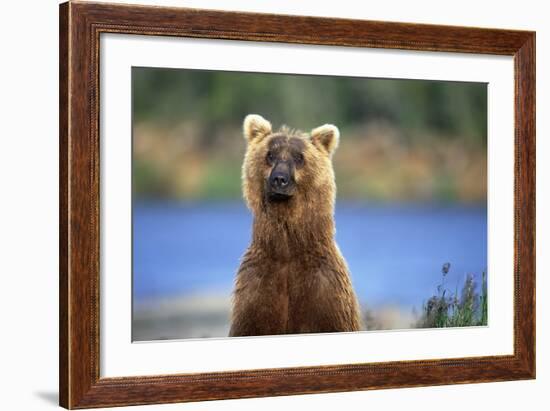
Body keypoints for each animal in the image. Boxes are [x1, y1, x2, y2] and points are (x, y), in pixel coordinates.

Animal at [230, 113, 364, 338]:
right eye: (270, 155)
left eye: (299, 157)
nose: (279, 179)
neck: (287, 251)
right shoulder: (256, 289)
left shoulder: (325, 291)